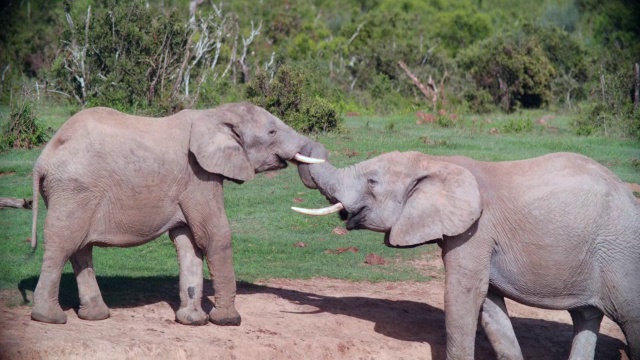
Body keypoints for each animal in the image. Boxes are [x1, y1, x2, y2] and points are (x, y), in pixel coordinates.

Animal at [28, 101, 324, 326]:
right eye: (272, 131)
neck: (214, 113)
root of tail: (43, 158)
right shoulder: (198, 176)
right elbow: (214, 235)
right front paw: (228, 321)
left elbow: (188, 243)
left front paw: (193, 322)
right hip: (74, 189)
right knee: (62, 245)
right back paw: (50, 318)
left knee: (80, 249)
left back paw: (96, 316)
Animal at [294, 149, 640, 360]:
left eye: (372, 182)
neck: (437, 162)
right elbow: (488, 305)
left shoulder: (476, 231)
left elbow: (463, 296)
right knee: (586, 317)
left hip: (621, 251)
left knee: (630, 318)